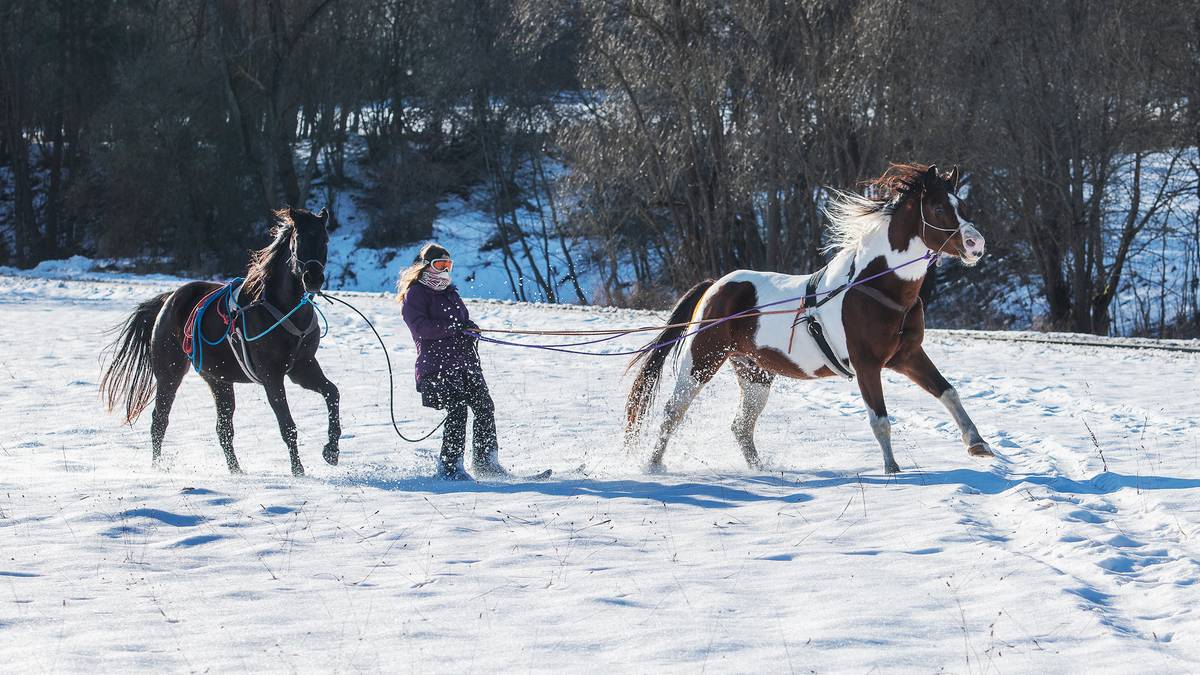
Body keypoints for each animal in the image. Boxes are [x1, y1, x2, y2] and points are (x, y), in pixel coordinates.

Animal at [100, 205, 340, 473]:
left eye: (325, 239)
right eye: (299, 239)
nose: (313, 278)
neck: (282, 308)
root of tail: (169, 299)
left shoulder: (302, 367)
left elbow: (332, 394)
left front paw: (331, 450)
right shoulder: (272, 376)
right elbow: (287, 426)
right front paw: (298, 470)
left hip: (219, 380)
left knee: (223, 430)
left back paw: (236, 470)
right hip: (169, 375)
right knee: (159, 421)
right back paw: (157, 467)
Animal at [628, 163, 993, 473]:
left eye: (962, 205)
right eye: (938, 208)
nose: (976, 244)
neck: (875, 287)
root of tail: (716, 285)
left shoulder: (908, 356)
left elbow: (948, 392)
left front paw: (978, 444)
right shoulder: (866, 365)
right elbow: (880, 419)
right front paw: (892, 469)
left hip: (755, 374)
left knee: (740, 426)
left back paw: (761, 469)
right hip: (702, 360)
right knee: (674, 410)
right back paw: (653, 465)